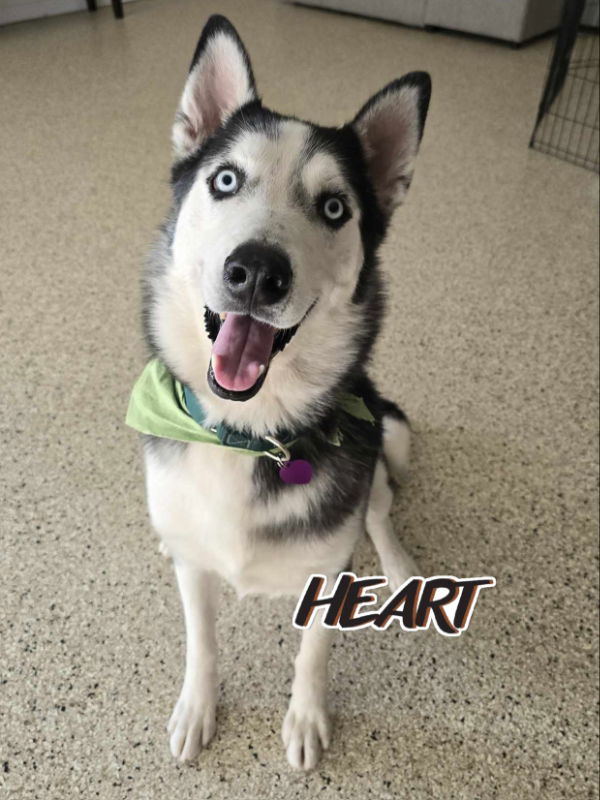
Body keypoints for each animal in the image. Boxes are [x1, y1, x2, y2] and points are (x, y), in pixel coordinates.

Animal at [138, 15, 428, 772]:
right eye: (225, 179)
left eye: (333, 207)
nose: (257, 272)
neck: (246, 433)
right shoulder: (197, 576)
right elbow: (202, 641)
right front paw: (198, 708)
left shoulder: (327, 570)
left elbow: (313, 654)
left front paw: (304, 718)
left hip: (383, 435)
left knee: (379, 508)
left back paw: (398, 565)